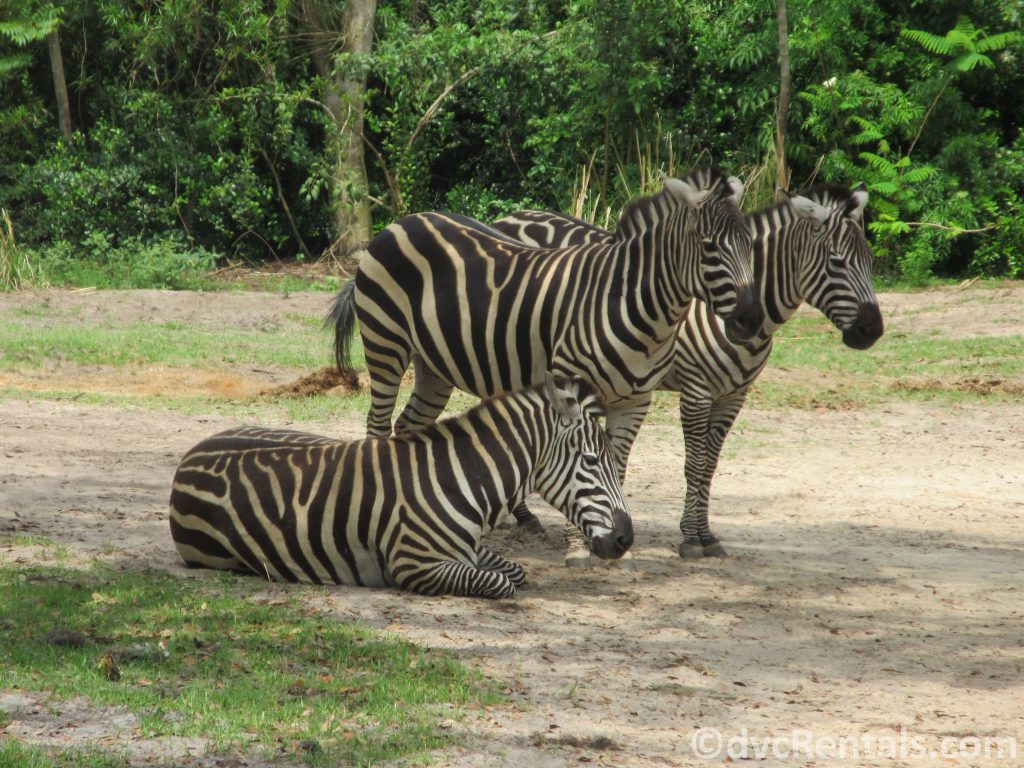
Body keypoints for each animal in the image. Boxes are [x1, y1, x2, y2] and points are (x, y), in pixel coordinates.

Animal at [167, 376, 630, 598]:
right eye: (592, 462)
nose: (626, 539)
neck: (461, 477)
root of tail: (190, 455)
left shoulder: (465, 551)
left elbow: (514, 570)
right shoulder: (415, 563)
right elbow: (503, 583)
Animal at [325, 166, 761, 565]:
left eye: (751, 245)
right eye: (709, 247)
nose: (750, 320)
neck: (634, 306)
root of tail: (403, 220)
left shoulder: (636, 401)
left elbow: (615, 466)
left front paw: (614, 543)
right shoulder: (575, 384)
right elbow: (579, 458)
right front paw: (578, 545)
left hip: (434, 366)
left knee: (409, 425)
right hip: (386, 344)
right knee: (378, 424)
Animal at [491, 183, 884, 561]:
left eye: (870, 260)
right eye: (836, 262)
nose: (873, 331)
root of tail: (512, 216)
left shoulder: (733, 396)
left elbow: (709, 465)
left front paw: (706, 536)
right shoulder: (697, 390)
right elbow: (694, 464)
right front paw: (691, 540)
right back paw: (524, 516)